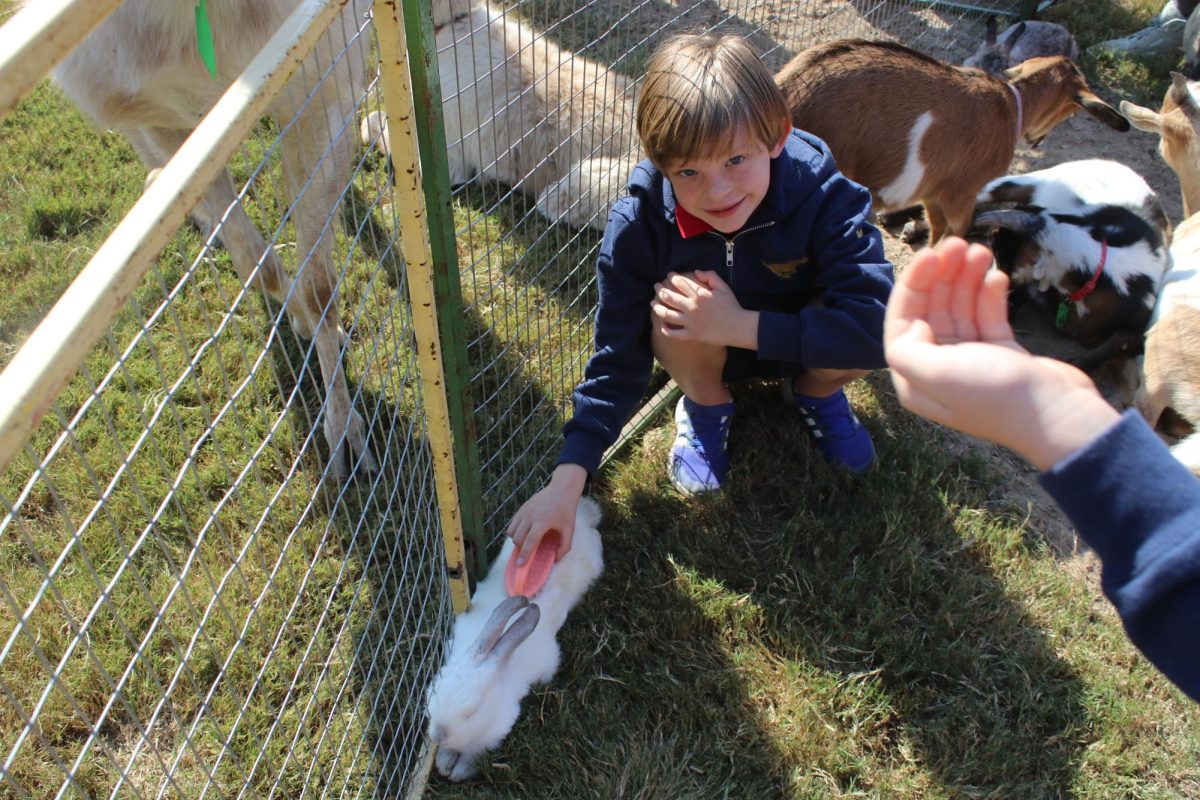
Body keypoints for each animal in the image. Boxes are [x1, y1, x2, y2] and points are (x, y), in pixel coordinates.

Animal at [427, 496, 604, 777]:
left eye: (471, 713)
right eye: (435, 690)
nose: (437, 735)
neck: (496, 656)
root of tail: (581, 518)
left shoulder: (494, 731)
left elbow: (474, 752)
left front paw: (458, 770)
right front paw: (444, 762)